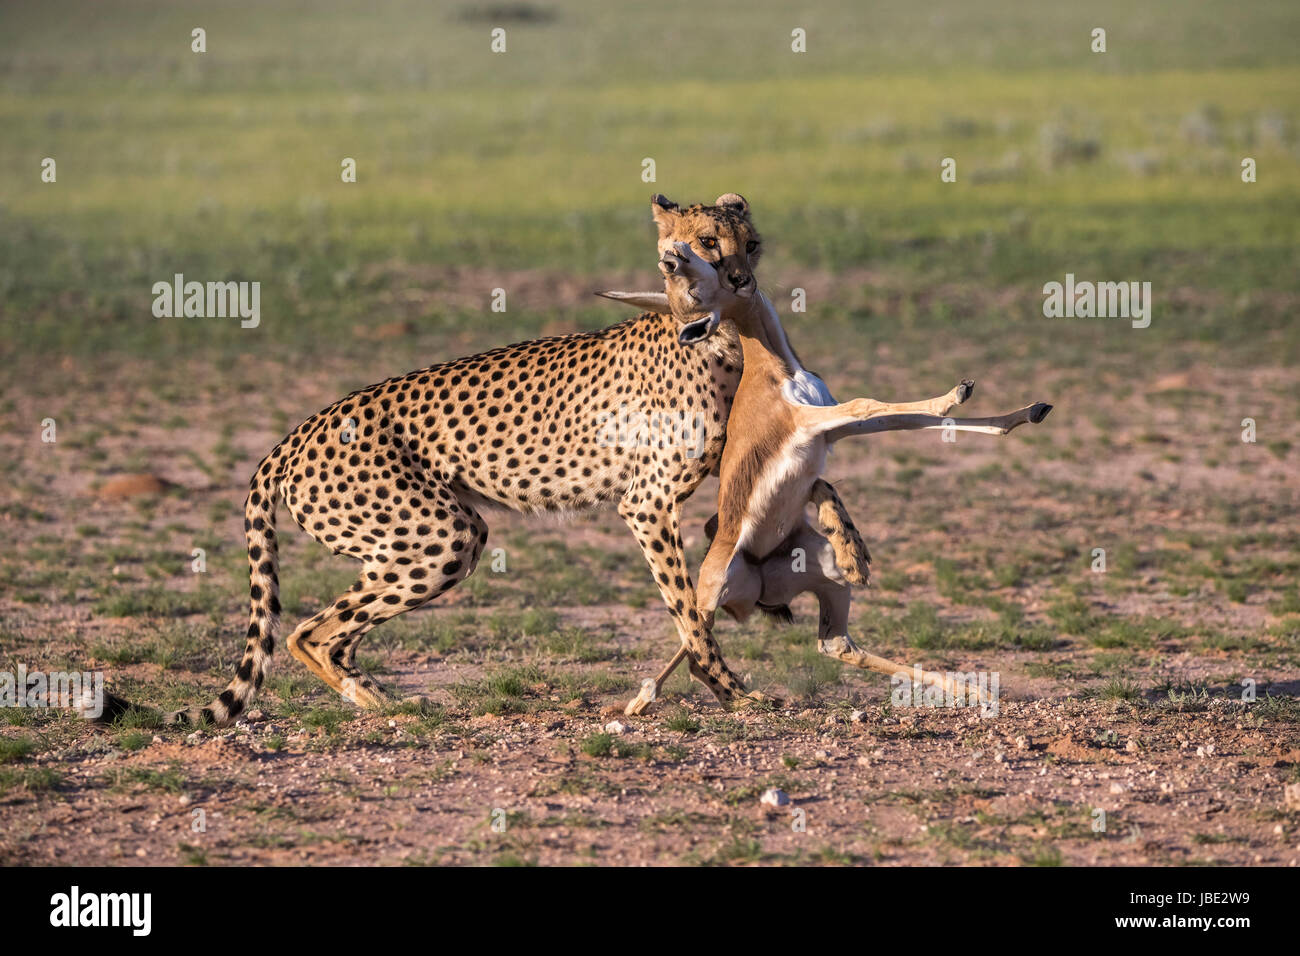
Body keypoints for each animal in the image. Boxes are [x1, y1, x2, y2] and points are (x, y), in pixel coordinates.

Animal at [104, 196, 769, 733]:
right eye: (707, 242)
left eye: (752, 243)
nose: (740, 280)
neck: (712, 334)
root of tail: (297, 431)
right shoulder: (645, 503)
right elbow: (688, 608)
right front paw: (729, 689)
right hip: (440, 536)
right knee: (306, 632)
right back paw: (384, 707)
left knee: (327, 634)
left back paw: (387, 700)